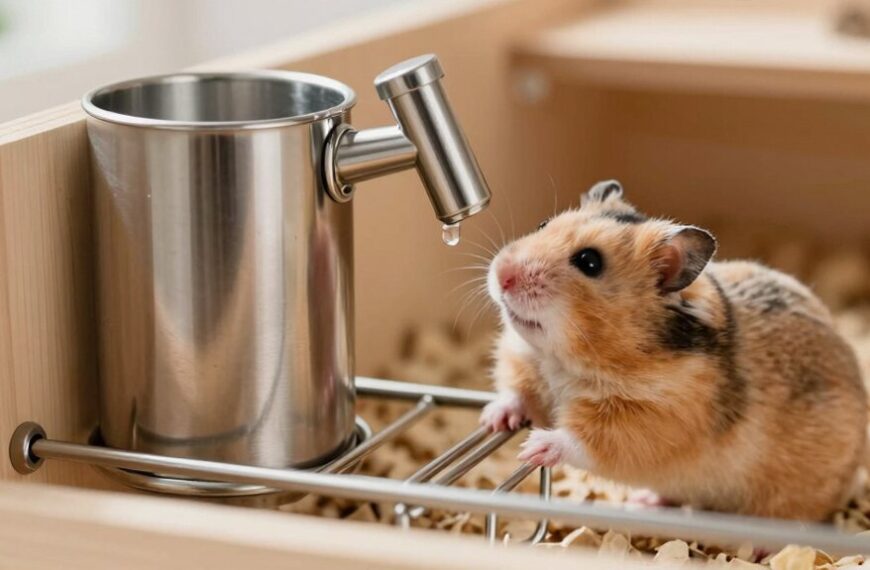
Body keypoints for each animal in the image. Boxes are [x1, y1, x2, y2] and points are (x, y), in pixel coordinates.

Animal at [480, 180, 867, 521]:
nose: (502, 275)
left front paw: (533, 448)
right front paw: (492, 419)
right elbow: (515, 392)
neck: (564, 358)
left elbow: (583, 439)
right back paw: (645, 501)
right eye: (543, 224)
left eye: (589, 262)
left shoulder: (649, 420)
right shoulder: (523, 360)